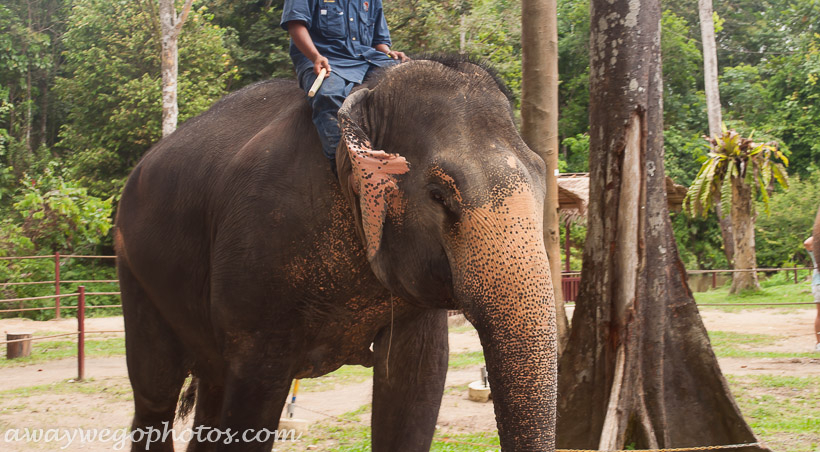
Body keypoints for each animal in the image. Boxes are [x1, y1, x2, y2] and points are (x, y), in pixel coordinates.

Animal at [115, 53, 560, 452]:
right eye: (439, 195)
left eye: (542, 175)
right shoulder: (259, 246)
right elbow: (254, 399)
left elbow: (416, 384)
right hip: (136, 271)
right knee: (155, 393)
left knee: (210, 389)